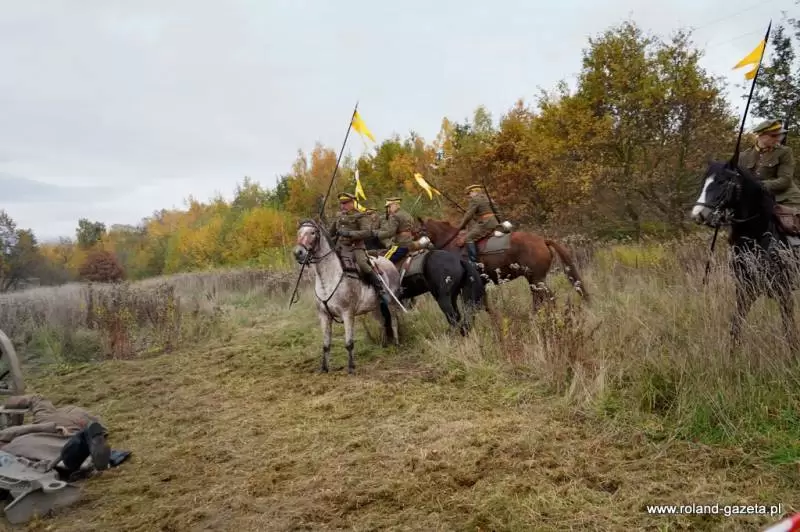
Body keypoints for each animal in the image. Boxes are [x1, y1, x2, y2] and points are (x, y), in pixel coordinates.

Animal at [293, 219, 403, 374]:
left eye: (313, 232)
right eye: (299, 233)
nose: (298, 252)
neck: (329, 277)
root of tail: (388, 262)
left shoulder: (347, 313)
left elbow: (349, 343)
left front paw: (351, 368)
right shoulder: (324, 316)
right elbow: (326, 344)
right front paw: (324, 368)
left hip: (392, 302)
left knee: (393, 321)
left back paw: (397, 344)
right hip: (375, 306)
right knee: (382, 322)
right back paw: (383, 345)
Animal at [417, 217, 589, 313]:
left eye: (419, 230)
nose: (415, 247)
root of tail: (542, 240)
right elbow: (484, 304)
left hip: (537, 279)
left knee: (548, 298)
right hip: (533, 280)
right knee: (538, 299)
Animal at [690, 160, 800, 351]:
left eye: (722, 182)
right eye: (704, 181)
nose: (698, 214)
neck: (758, 233)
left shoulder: (783, 290)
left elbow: (789, 328)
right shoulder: (745, 289)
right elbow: (736, 324)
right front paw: (733, 354)